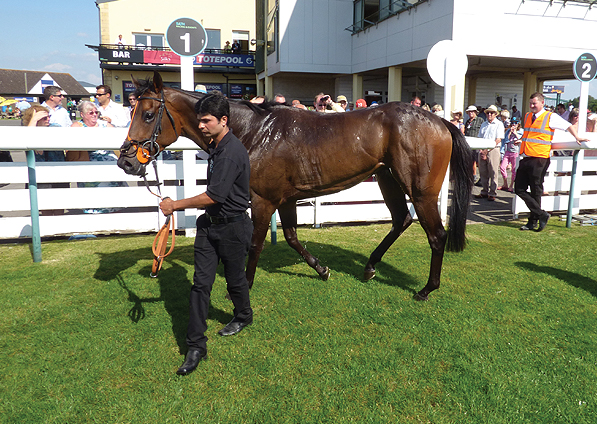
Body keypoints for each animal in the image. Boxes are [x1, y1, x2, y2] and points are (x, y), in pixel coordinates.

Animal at [117, 71, 470, 300]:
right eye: (131, 109)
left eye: (147, 113)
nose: (126, 161)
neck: (254, 132)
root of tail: (441, 121)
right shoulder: (284, 199)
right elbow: (291, 237)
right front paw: (322, 270)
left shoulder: (262, 200)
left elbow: (255, 245)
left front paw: (242, 289)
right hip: (387, 178)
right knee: (401, 220)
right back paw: (370, 267)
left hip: (421, 190)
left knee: (436, 235)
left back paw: (426, 289)